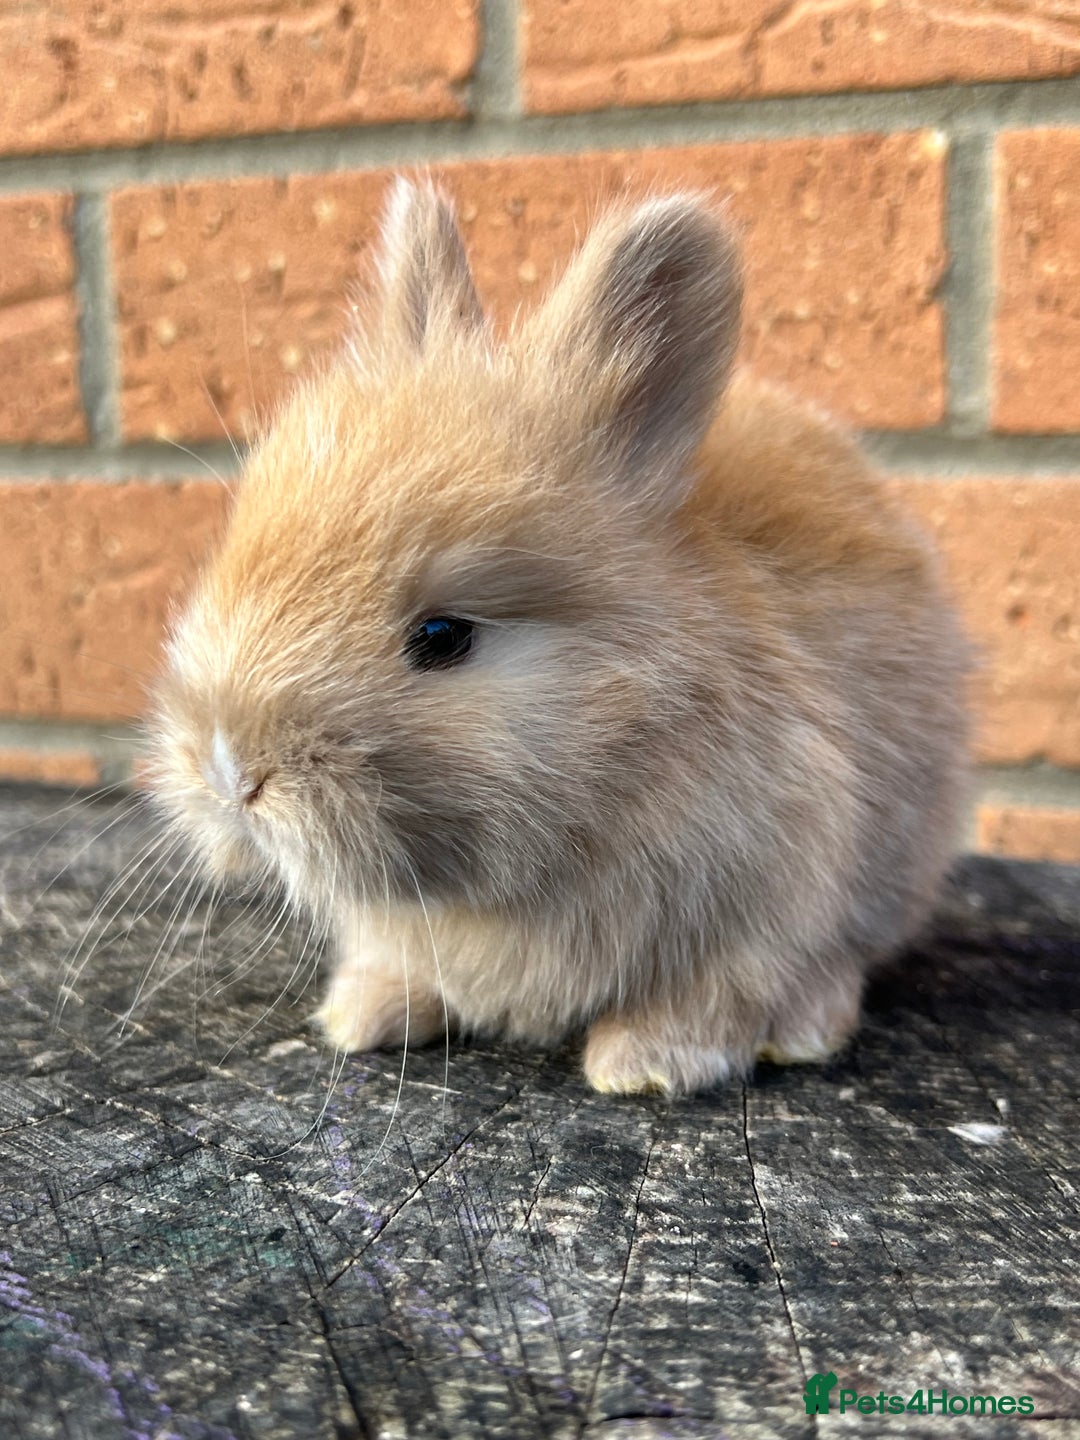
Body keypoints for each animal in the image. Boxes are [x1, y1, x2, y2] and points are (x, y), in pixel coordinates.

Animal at [147, 177, 969, 1096]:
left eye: (443, 636)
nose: (230, 769)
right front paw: (364, 1015)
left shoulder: (769, 894)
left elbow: (720, 992)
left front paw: (646, 1064)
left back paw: (800, 1031)